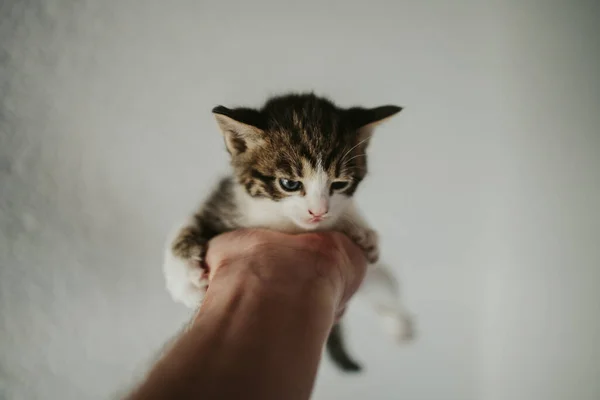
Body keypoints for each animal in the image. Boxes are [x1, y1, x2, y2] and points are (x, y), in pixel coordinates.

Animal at [164, 93, 418, 372]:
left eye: (340, 184)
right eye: (289, 184)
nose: (318, 212)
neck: (284, 222)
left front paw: (359, 229)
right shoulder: (222, 202)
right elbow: (186, 225)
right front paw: (185, 279)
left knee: (386, 289)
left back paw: (400, 324)